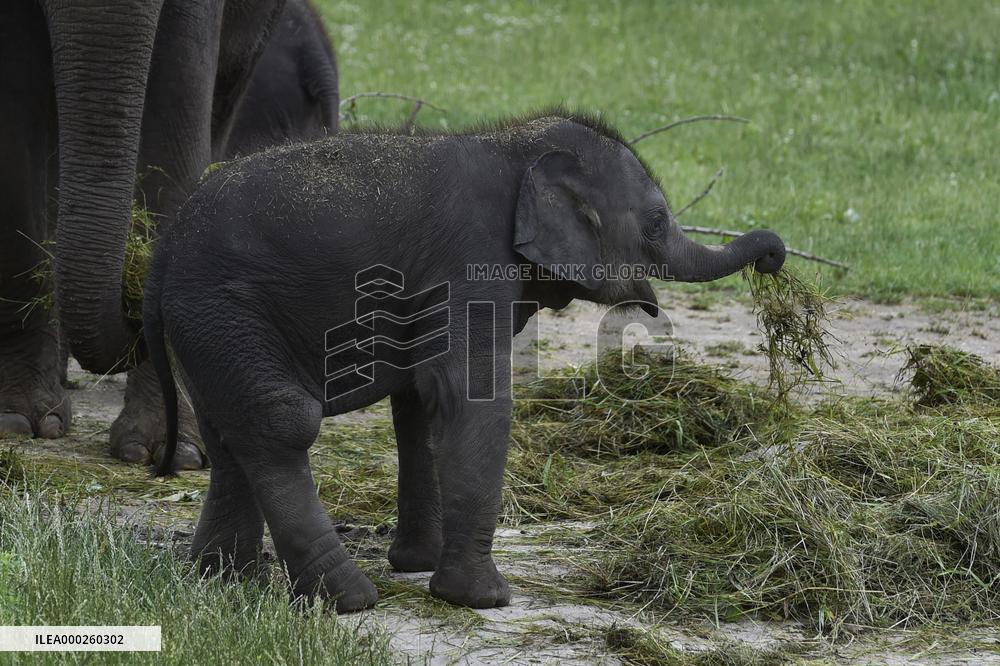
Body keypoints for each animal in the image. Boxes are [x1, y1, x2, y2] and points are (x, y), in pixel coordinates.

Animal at [143, 111, 786, 612]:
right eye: (654, 224)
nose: (774, 256)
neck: (516, 144)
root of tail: (162, 245)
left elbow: (419, 404)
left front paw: (417, 564)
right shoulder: (472, 261)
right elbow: (467, 394)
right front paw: (480, 599)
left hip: (209, 325)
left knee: (231, 431)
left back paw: (227, 580)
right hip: (227, 307)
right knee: (280, 424)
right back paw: (348, 599)